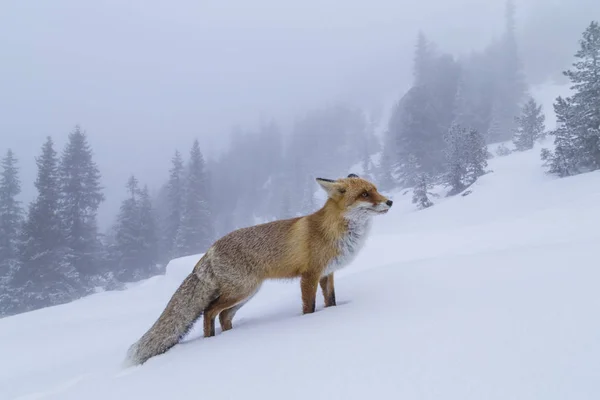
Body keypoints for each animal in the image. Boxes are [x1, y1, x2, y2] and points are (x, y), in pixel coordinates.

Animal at [124, 173, 392, 366]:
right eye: (365, 194)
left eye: (376, 189)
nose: (389, 201)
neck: (333, 230)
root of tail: (210, 249)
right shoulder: (309, 275)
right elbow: (309, 307)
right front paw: (308, 322)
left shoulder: (327, 274)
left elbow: (331, 302)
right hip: (242, 291)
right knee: (209, 311)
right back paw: (211, 341)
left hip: (246, 295)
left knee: (223, 316)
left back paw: (230, 337)